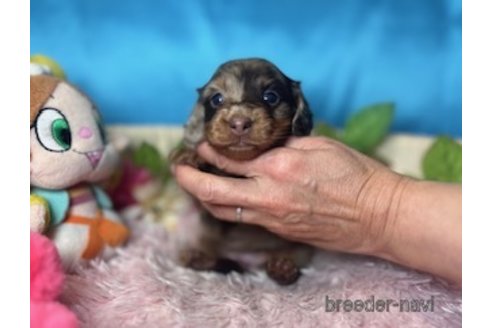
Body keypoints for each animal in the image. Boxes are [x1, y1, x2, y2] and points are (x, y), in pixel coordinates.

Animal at [171, 58, 314, 284]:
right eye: (217, 99)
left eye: (270, 97)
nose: (239, 123)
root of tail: (248, 262)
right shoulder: (200, 204)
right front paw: (190, 155)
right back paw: (198, 258)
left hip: (300, 248)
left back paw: (283, 267)